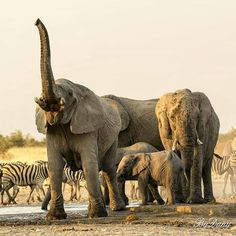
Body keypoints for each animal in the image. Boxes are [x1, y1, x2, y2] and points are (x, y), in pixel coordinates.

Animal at [34, 18, 125, 219]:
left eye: (69, 94)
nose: (36, 21)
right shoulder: (51, 130)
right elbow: (54, 166)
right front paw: (54, 217)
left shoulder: (87, 128)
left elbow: (89, 164)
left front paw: (98, 215)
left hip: (113, 139)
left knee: (108, 169)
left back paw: (116, 209)